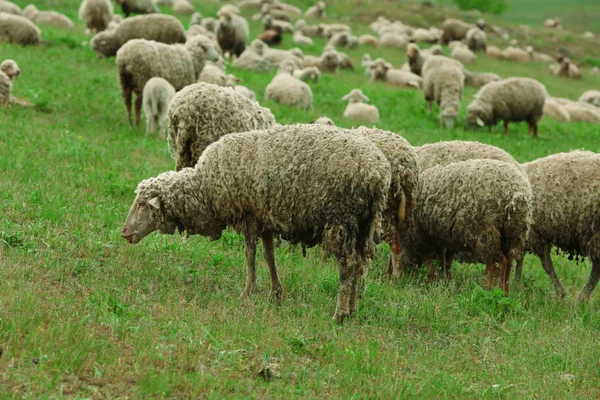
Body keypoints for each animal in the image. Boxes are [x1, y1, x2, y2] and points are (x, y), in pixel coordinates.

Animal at [122, 123, 394, 324]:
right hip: (362, 225)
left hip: (342, 218)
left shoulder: (249, 215)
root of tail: (379, 174)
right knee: (359, 265)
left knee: (347, 266)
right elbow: (268, 256)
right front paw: (276, 293)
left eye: (142, 204)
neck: (204, 188)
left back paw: (339, 314)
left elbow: (249, 254)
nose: (124, 233)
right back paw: (352, 309)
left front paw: (248, 291)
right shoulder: (264, 217)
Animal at [400, 158, 532, 292]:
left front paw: (437, 281)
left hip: (488, 232)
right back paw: (505, 292)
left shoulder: (432, 237)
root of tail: (516, 193)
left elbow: (438, 261)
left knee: (499, 262)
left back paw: (490, 289)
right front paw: (447, 282)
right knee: (508, 261)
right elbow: (447, 261)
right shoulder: (447, 239)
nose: (406, 272)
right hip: (512, 234)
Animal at [512, 152, 600, 302]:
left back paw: (581, 298)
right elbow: (521, 259)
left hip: (594, 231)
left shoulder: (534, 235)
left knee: (597, 269)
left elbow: (546, 265)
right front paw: (516, 284)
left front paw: (561, 292)